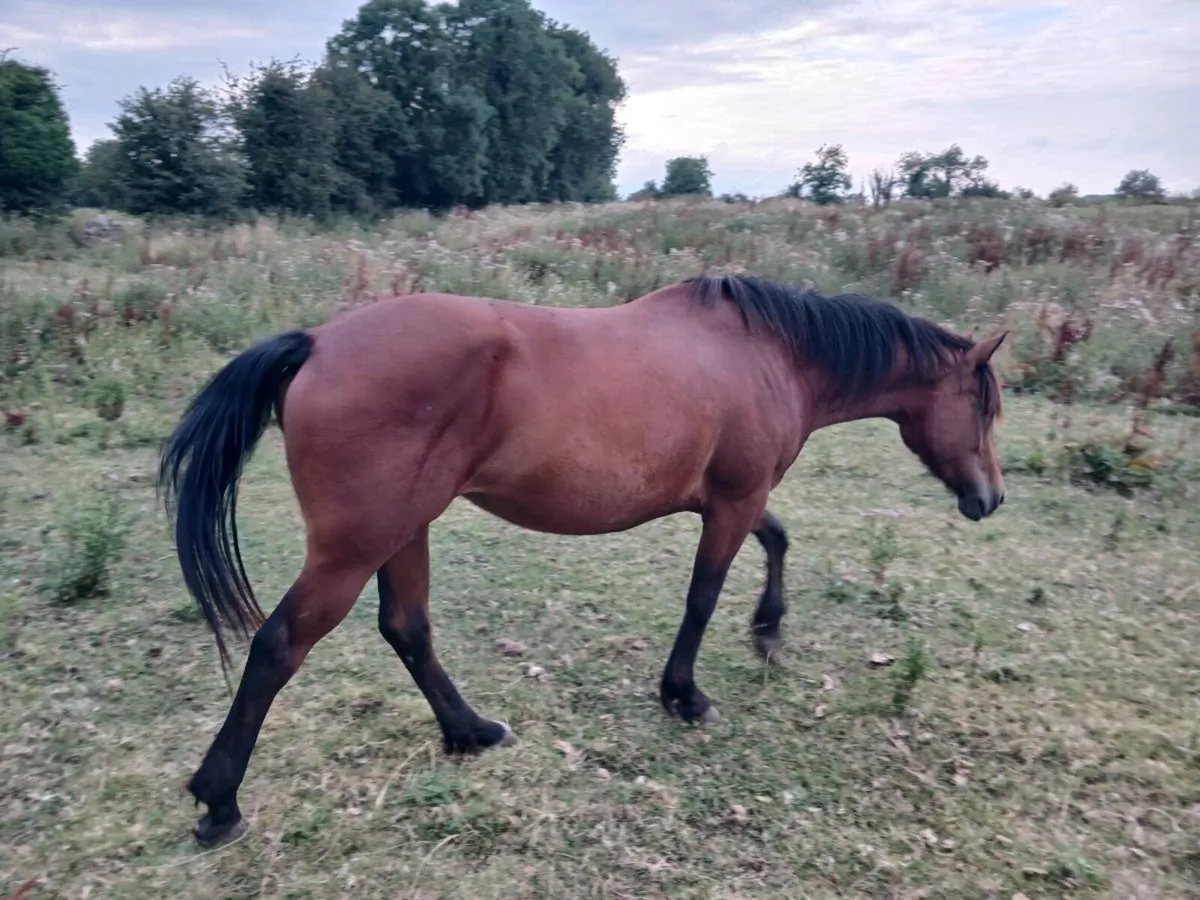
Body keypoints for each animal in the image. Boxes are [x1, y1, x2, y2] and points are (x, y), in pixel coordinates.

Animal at [158, 273, 1007, 846]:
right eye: (983, 405)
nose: (990, 498)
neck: (769, 355)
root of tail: (317, 343)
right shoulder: (733, 501)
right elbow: (704, 595)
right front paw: (684, 693)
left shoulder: (732, 498)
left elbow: (779, 539)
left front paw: (768, 631)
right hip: (357, 545)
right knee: (280, 645)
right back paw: (221, 802)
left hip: (404, 530)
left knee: (407, 628)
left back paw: (470, 731)